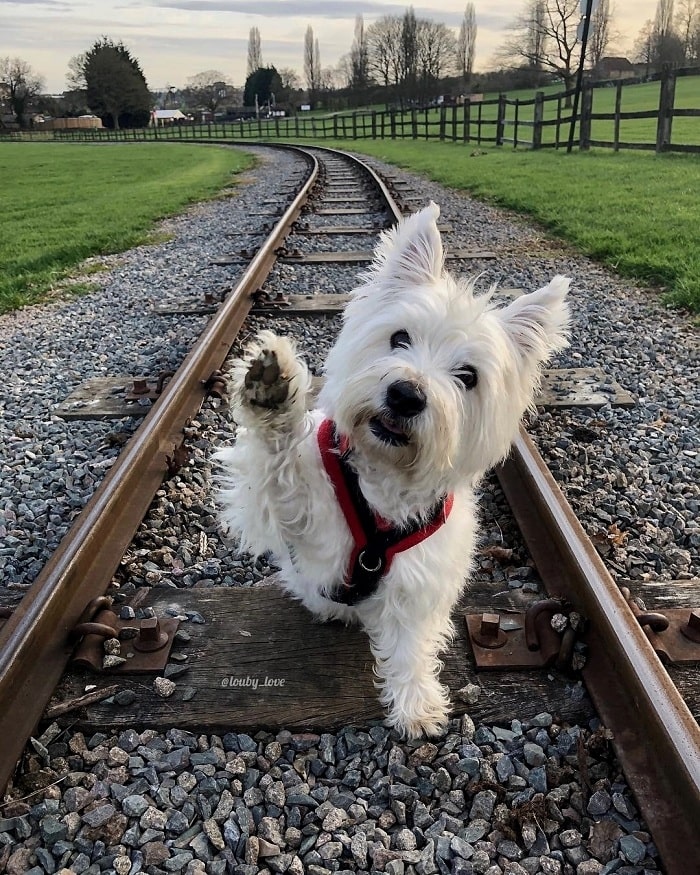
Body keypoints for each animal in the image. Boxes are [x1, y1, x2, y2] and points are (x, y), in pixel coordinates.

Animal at [216, 204, 572, 740]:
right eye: (399, 337)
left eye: (468, 376)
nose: (406, 395)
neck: (382, 483)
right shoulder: (301, 519)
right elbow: (279, 467)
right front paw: (274, 391)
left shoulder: (421, 580)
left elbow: (411, 642)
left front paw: (417, 704)